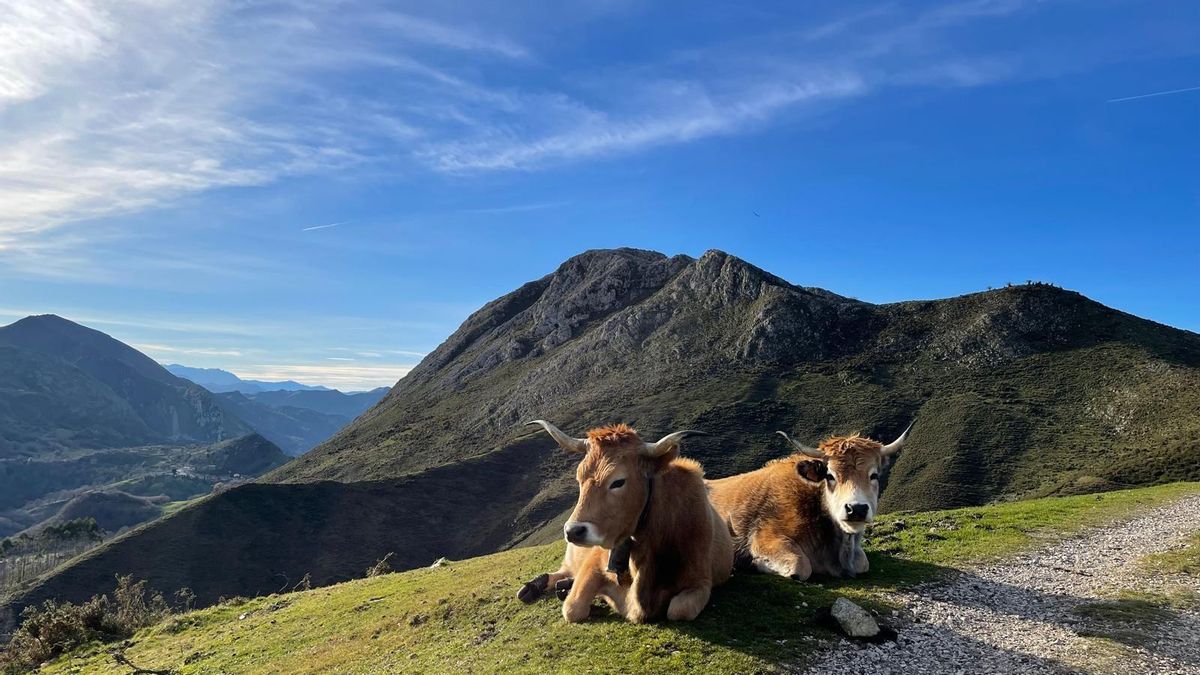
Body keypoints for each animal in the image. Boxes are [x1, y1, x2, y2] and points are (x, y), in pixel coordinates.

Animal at [516, 420, 734, 623]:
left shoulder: (701, 581)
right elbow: (573, 608)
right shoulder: (594, 563)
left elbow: (679, 610)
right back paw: (536, 586)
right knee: (562, 572)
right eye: (579, 478)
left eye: (618, 481)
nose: (572, 531)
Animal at [706, 423, 912, 581]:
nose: (856, 509)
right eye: (830, 475)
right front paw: (751, 563)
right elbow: (800, 566)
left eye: (874, 475)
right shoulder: (765, 537)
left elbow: (863, 563)